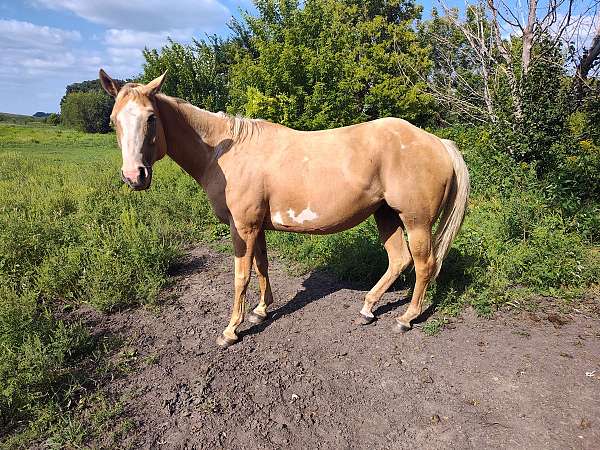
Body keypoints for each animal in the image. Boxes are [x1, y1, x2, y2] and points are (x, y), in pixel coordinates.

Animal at [101, 69, 472, 348]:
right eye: (114, 121)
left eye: (151, 118)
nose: (134, 176)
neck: (223, 152)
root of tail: (438, 142)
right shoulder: (256, 227)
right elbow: (262, 267)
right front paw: (261, 310)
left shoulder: (243, 227)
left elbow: (241, 276)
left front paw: (231, 330)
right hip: (386, 215)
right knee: (399, 259)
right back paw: (368, 309)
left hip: (416, 221)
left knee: (424, 264)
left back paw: (407, 317)